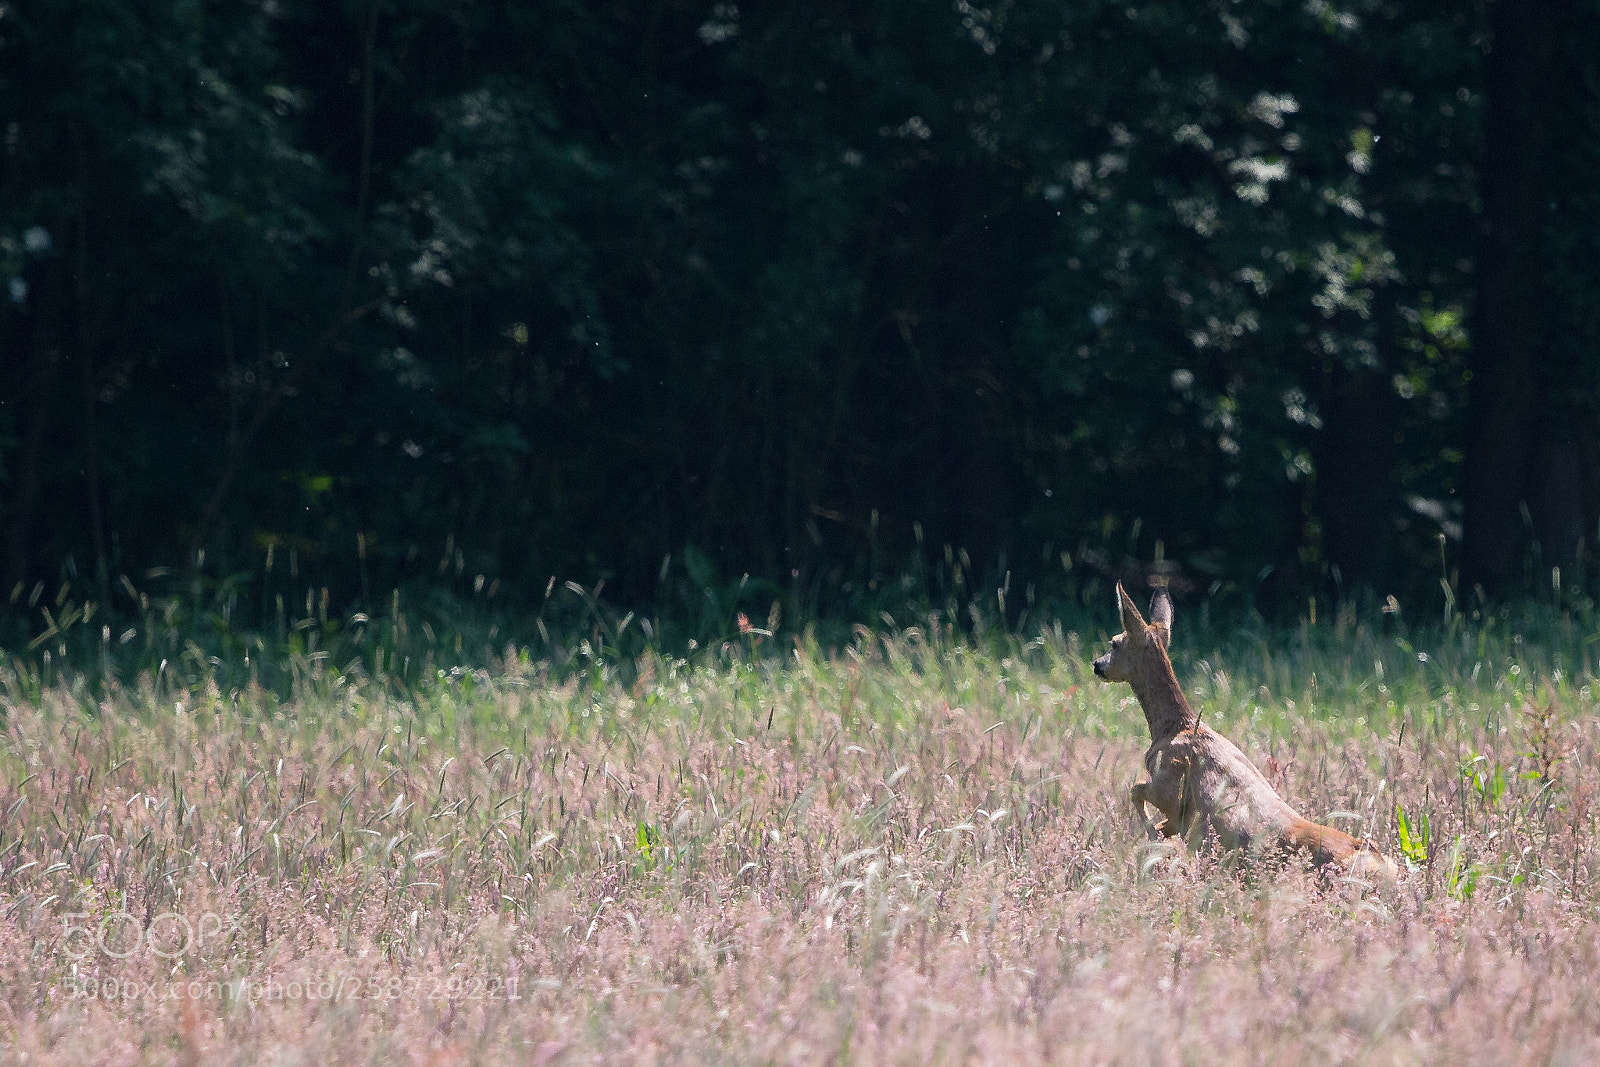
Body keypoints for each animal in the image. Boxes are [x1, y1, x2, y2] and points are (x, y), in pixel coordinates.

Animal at [1092, 581, 1397, 885]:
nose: (1096, 664)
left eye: (1114, 642)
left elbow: (1137, 792)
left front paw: (1151, 839)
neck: (1174, 727)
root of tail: (1376, 861)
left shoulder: (1169, 784)